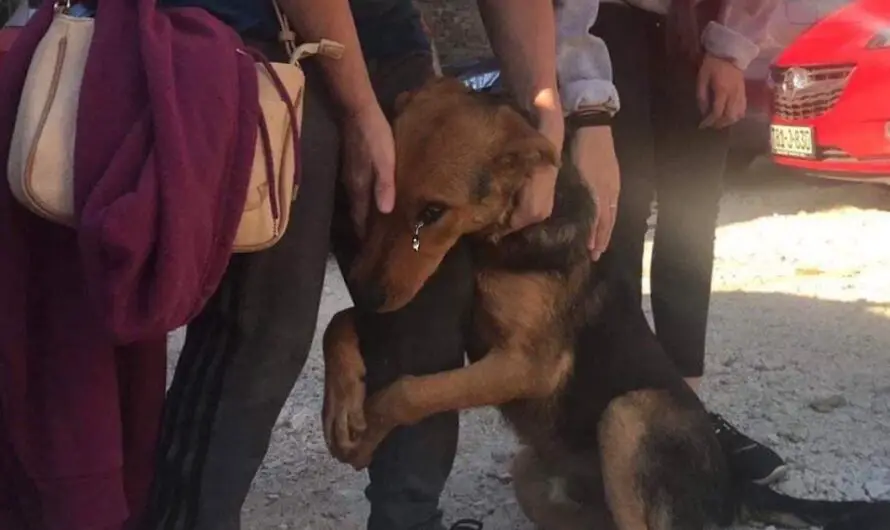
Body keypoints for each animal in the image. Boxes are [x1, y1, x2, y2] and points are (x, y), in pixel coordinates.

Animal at [322, 78, 884, 528]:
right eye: (376, 196)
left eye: (433, 212)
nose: (368, 291)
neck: (503, 236)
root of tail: (735, 486)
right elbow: (338, 324)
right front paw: (342, 407)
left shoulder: (527, 364)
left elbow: (408, 391)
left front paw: (365, 434)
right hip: (534, 474)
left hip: (629, 415)